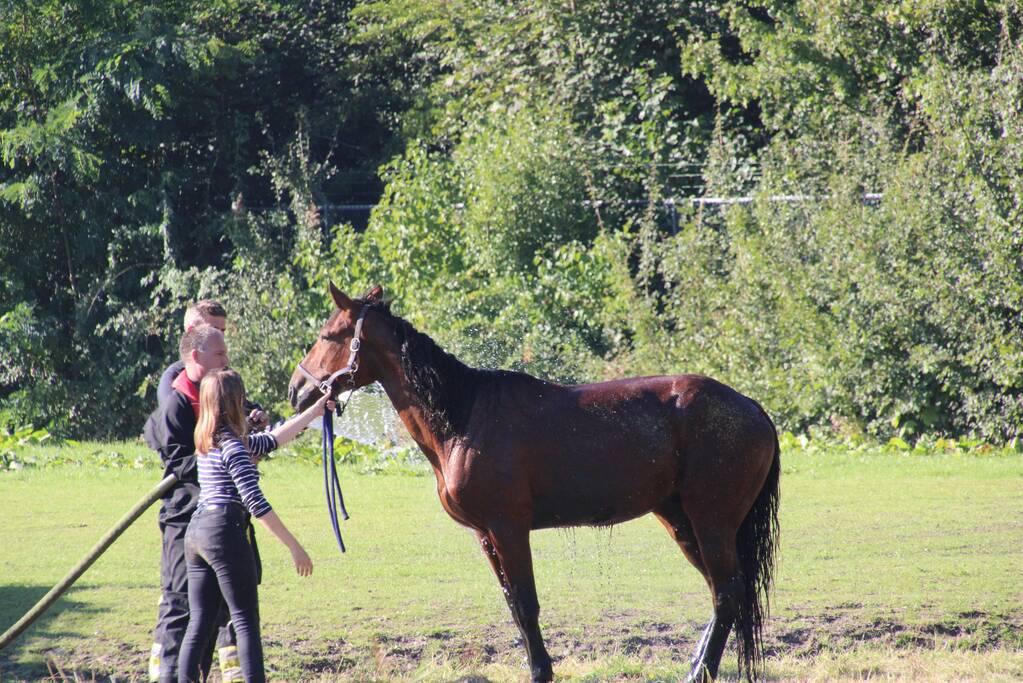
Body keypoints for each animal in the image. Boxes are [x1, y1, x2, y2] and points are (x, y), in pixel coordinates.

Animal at [289, 284, 780, 682]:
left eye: (329, 336)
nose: (297, 390)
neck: (465, 417)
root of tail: (753, 408)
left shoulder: (509, 529)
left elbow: (527, 604)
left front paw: (541, 671)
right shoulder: (486, 535)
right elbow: (513, 605)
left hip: (711, 521)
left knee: (727, 594)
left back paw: (700, 671)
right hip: (682, 522)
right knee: (725, 592)